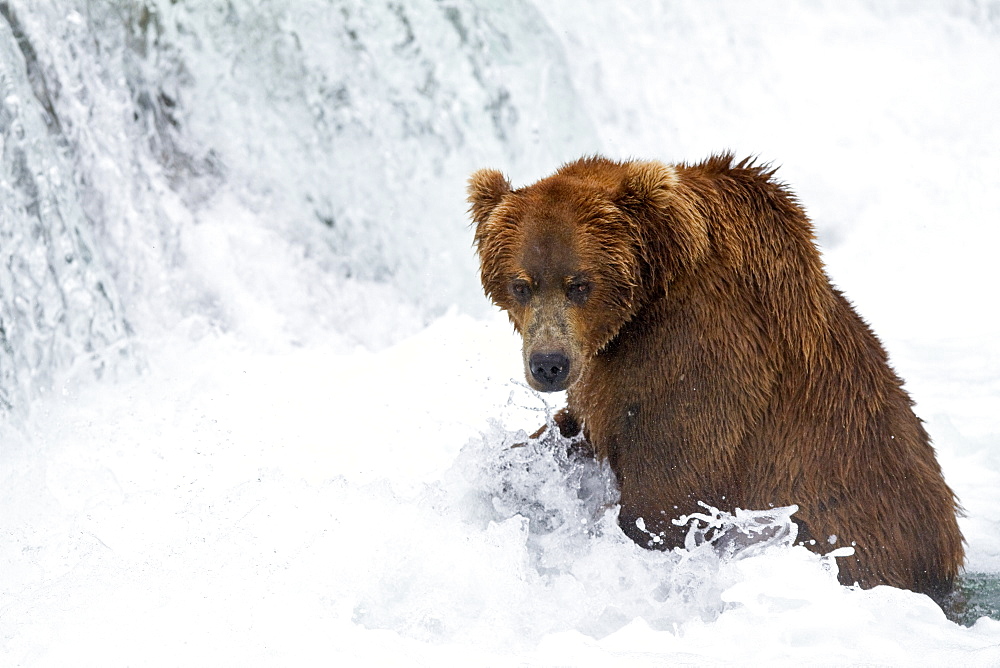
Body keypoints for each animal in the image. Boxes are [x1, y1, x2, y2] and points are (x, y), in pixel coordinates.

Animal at [472, 154, 964, 604]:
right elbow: (576, 429)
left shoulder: (699, 357)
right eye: (521, 284)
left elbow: (669, 491)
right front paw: (509, 470)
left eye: (579, 284)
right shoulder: (605, 373)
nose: (549, 363)